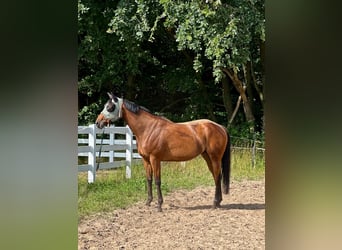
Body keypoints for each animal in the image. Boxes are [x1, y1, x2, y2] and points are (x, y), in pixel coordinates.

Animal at [95, 93, 231, 212]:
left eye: (110, 107)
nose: (98, 122)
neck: (148, 129)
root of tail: (220, 127)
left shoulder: (155, 159)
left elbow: (157, 181)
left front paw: (159, 205)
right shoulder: (146, 160)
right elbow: (149, 179)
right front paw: (148, 202)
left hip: (215, 158)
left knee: (217, 176)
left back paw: (214, 203)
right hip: (207, 157)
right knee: (216, 176)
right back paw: (218, 202)